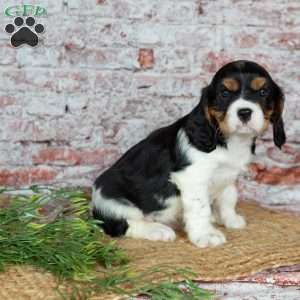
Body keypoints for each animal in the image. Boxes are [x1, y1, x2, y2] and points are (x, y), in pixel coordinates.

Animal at [91, 59, 286, 247]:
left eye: (263, 92)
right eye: (224, 93)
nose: (244, 112)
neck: (228, 140)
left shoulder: (229, 176)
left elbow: (229, 198)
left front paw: (230, 220)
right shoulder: (193, 177)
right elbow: (201, 208)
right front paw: (206, 235)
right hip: (114, 203)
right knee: (122, 224)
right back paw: (157, 230)